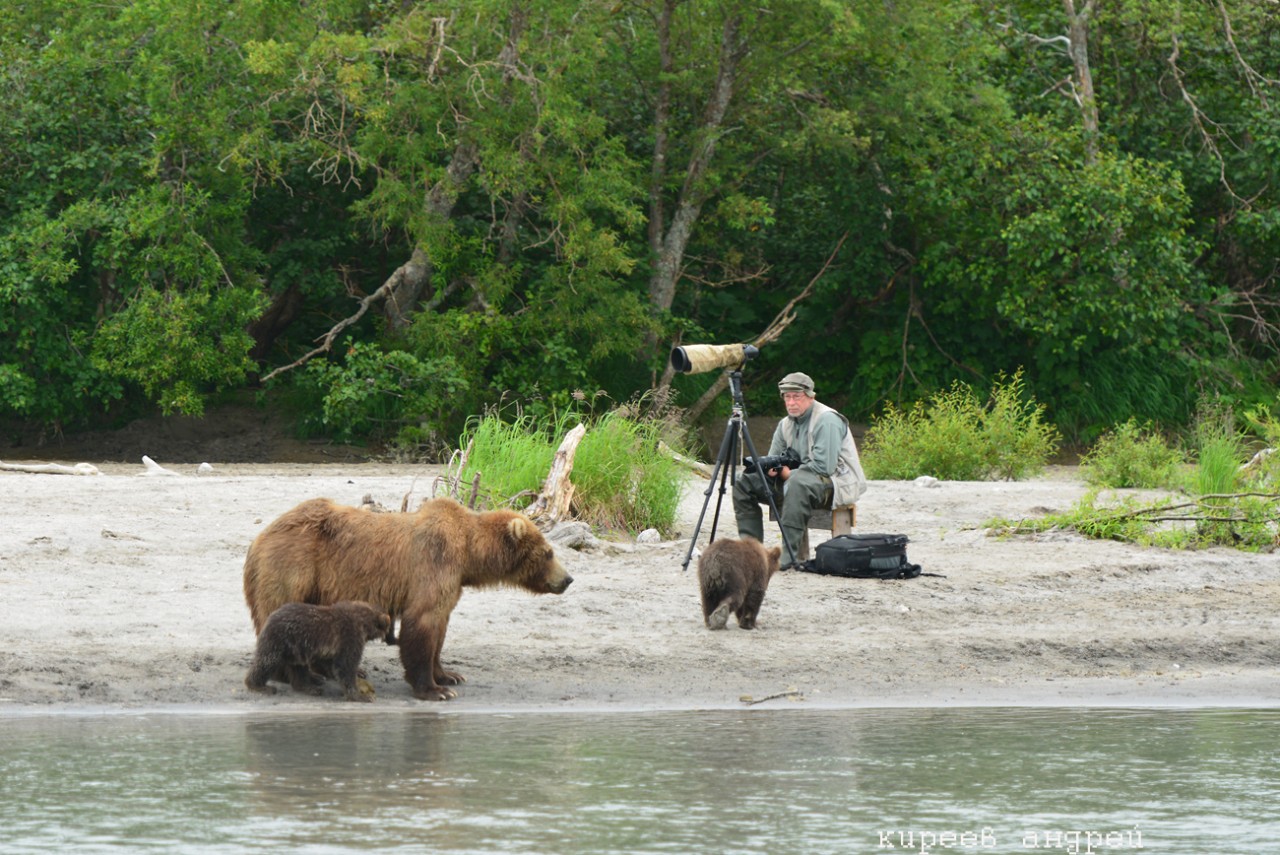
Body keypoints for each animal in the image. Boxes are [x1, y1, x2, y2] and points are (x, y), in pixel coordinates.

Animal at [244, 601, 389, 701]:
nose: (389, 636)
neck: (363, 623)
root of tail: (270, 616)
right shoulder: (349, 638)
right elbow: (346, 666)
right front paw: (361, 695)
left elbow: (332, 664)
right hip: (280, 639)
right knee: (267, 661)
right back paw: (260, 686)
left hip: (295, 649)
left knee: (298, 668)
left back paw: (310, 687)